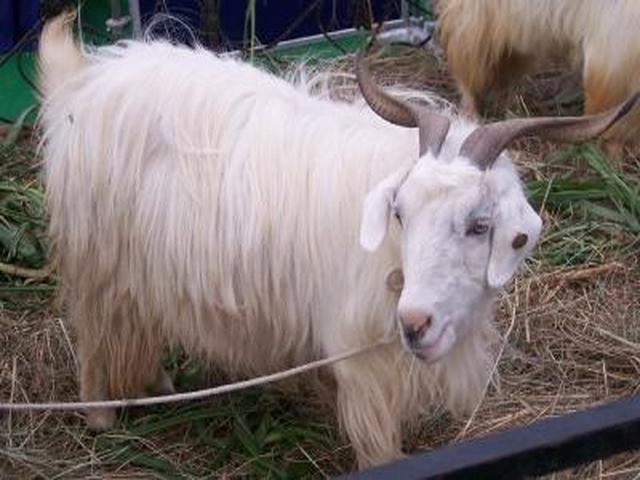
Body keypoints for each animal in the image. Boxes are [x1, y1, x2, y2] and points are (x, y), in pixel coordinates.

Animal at [436, 0, 640, 155]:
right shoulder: (614, 56)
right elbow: (613, 113)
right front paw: (612, 156)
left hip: (520, 37)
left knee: (507, 76)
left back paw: (514, 109)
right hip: (478, 25)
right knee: (467, 69)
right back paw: (472, 116)